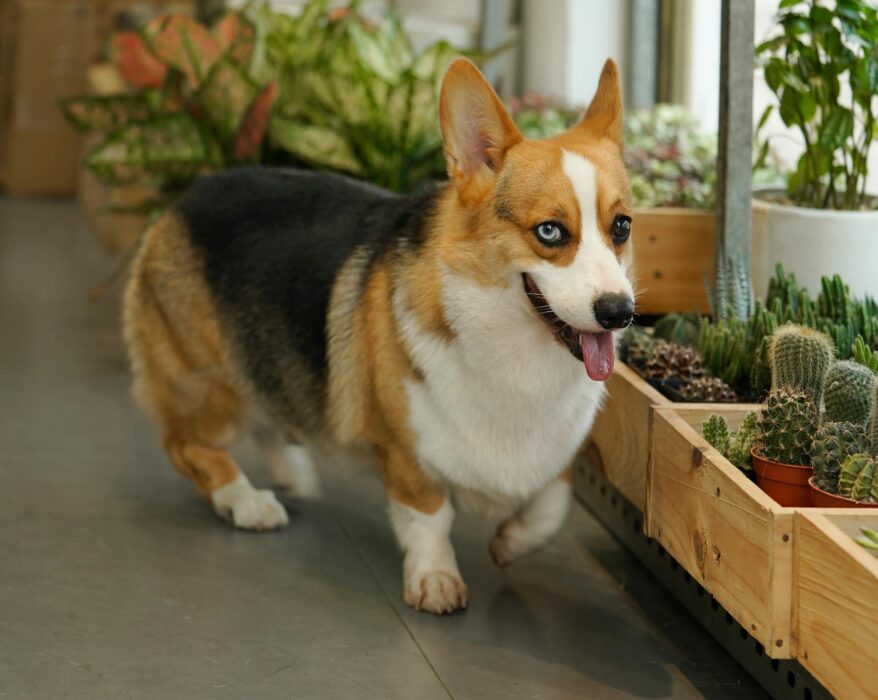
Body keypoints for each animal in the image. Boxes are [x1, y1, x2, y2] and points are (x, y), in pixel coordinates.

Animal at [124, 57, 636, 616]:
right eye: (549, 232)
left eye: (622, 226)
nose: (619, 311)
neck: (512, 349)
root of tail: (187, 195)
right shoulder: (406, 449)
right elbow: (430, 515)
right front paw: (435, 579)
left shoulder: (557, 451)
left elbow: (553, 503)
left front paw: (512, 541)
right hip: (211, 388)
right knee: (187, 445)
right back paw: (247, 500)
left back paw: (293, 472)